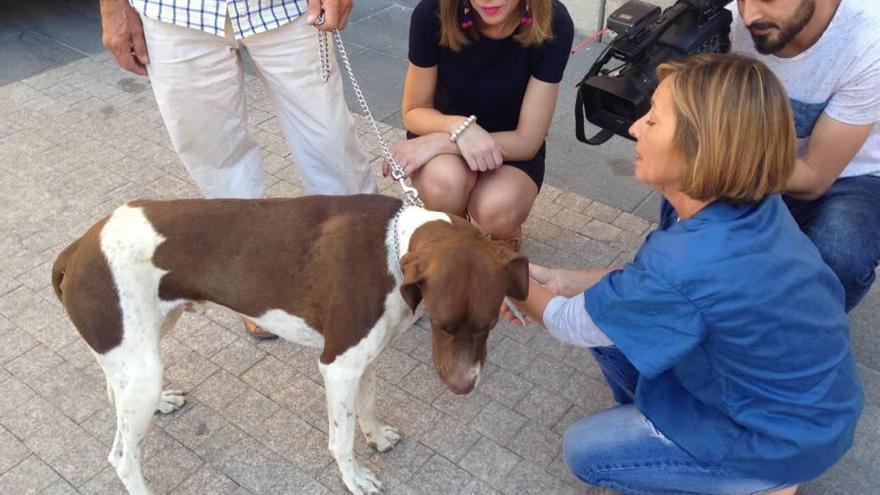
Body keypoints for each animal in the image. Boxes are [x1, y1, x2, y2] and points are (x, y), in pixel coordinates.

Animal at [51, 194, 524, 495]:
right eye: (443, 325)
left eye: (488, 325)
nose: (464, 386)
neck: (393, 246)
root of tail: (77, 248)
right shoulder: (338, 366)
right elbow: (341, 439)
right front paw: (354, 478)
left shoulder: (366, 359)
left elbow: (367, 406)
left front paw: (375, 436)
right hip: (142, 368)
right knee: (122, 457)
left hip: (143, 344)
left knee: (113, 390)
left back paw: (161, 403)